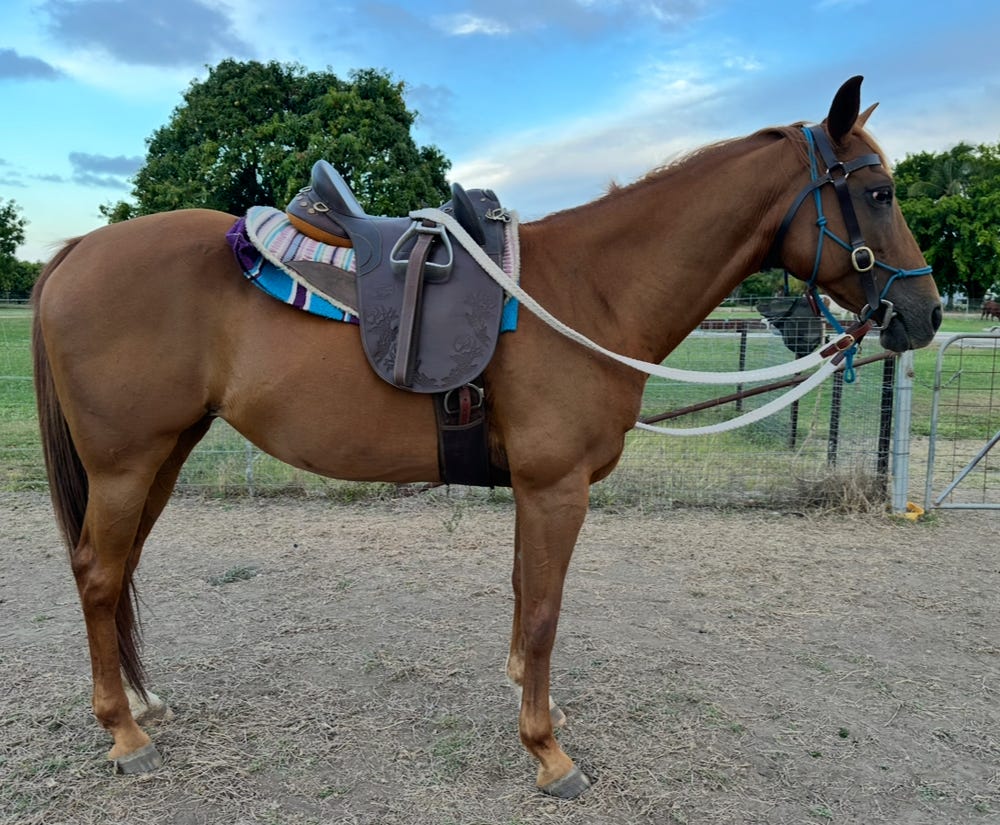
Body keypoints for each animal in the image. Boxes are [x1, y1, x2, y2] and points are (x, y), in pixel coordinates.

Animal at [32, 76, 941, 798]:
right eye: (881, 193)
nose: (926, 312)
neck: (590, 292)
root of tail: (73, 252)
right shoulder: (556, 488)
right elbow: (543, 610)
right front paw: (548, 752)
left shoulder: (533, 490)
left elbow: (520, 594)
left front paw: (529, 702)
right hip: (126, 463)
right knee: (98, 573)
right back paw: (124, 733)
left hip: (162, 454)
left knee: (120, 571)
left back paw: (142, 702)